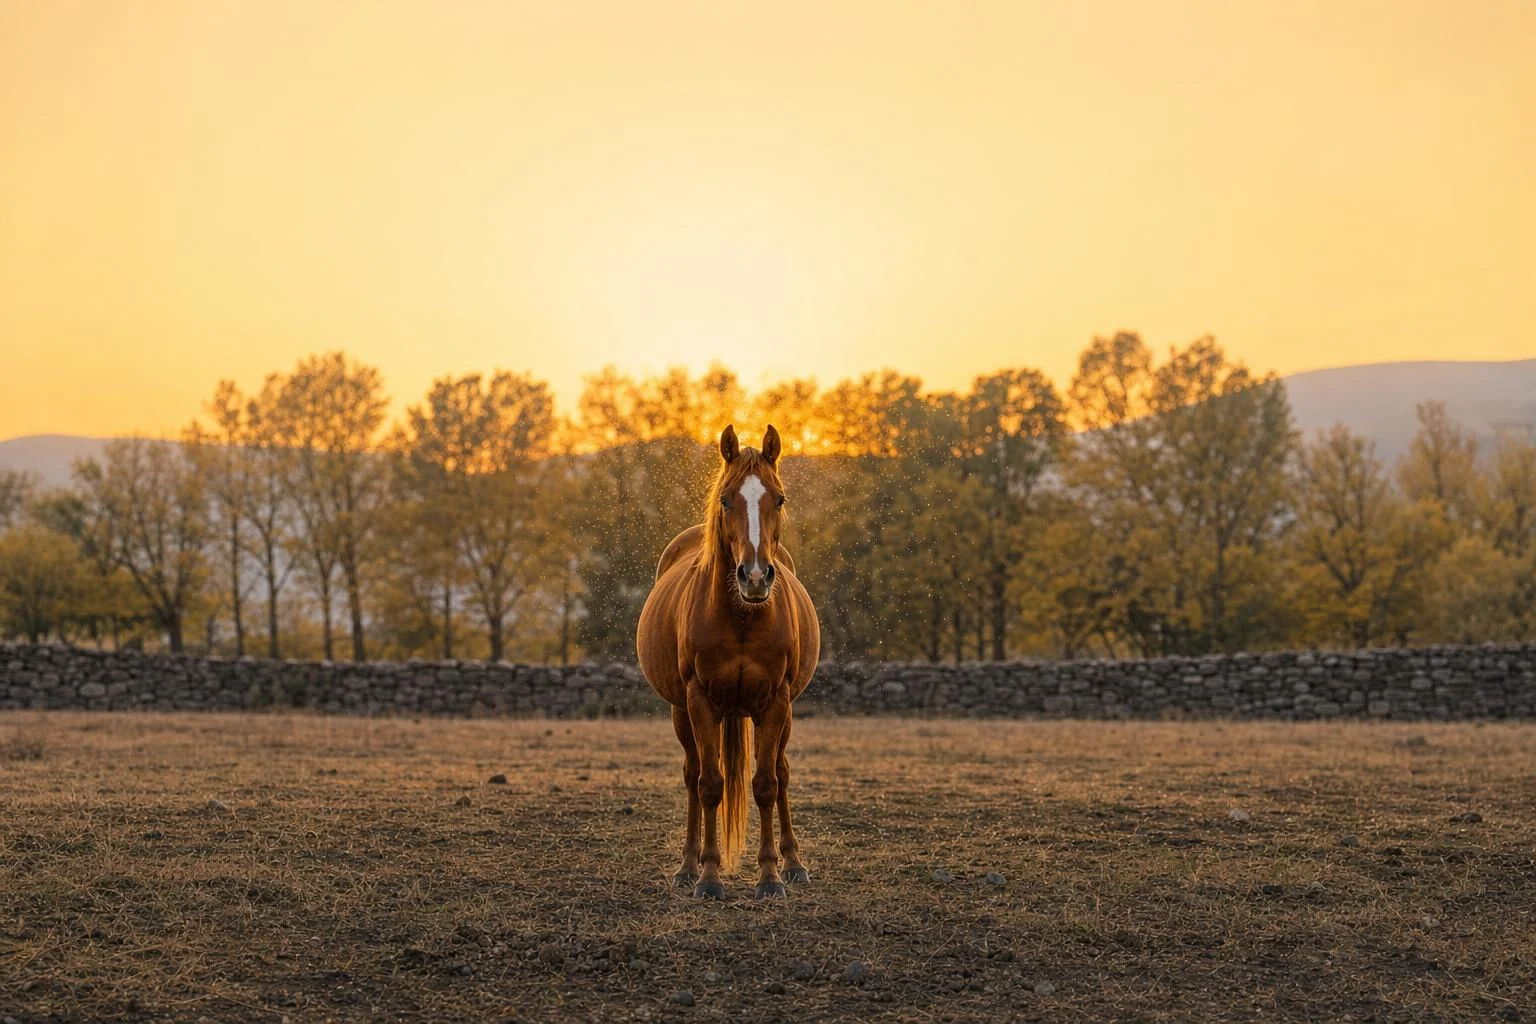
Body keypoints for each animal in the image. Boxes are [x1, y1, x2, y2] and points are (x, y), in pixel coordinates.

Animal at [636, 424, 821, 899]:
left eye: (779, 499)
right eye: (725, 500)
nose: (755, 577)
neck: (742, 615)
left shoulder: (775, 702)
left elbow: (766, 784)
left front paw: (771, 876)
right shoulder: (699, 701)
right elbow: (710, 785)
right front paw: (708, 876)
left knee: (781, 772)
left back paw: (795, 863)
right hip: (682, 712)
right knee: (693, 775)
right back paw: (686, 866)